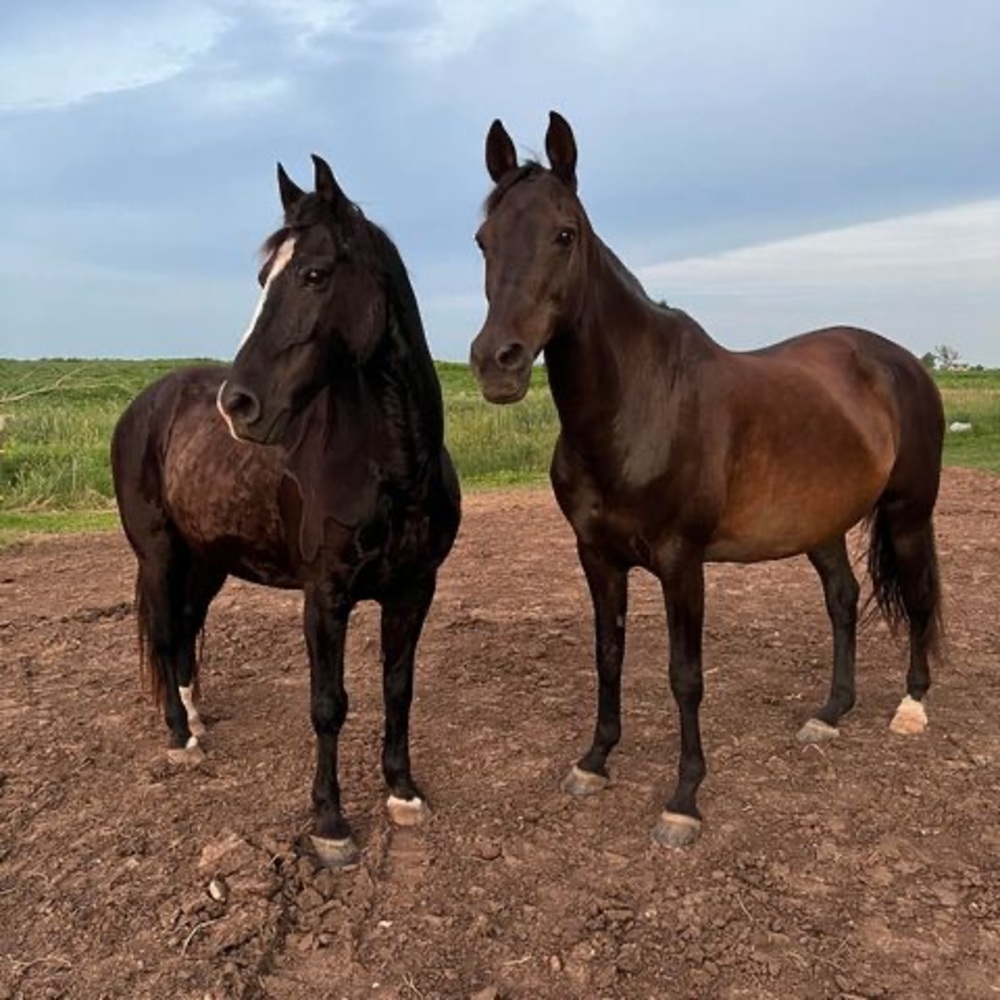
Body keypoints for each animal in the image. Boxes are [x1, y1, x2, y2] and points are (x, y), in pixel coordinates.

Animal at [112, 155, 461, 866]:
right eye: (261, 278)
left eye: (314, 273)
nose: (238, 404)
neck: (392, 468)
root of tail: (143, 408)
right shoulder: (324, 596)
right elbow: (328, 704)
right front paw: (330, 825)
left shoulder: (415, 589)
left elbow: (399, 688)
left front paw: (403, 793)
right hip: (159, 555)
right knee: (163, 632)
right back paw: (180, 739)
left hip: (208, 560)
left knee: (185, 628)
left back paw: (199, 717)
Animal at [469, 111, 944, 849]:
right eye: (484, 241)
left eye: (564, 235)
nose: (499, 363)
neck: (638, 406)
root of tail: (902, 363)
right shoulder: (597, 556)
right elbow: (608, 655)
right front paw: (594, 762)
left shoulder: (680, 561)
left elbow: (684, 676)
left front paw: (684, 800)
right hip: (824, 525)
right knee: (843, 600)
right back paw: (830, 713)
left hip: (908, 513)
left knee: (918, 598)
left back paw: (912, 705)